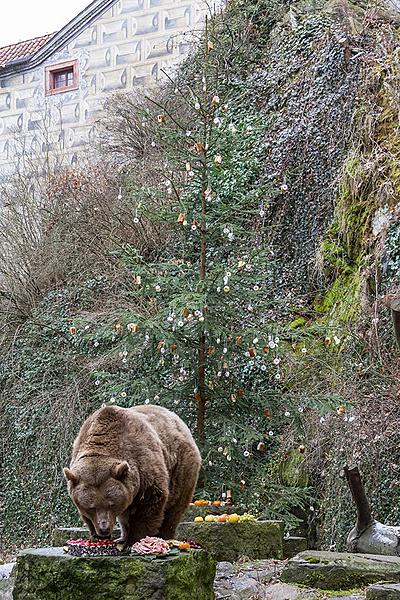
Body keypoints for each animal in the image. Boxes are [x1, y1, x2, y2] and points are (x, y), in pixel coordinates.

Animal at [63, 404, 202, 544]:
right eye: (91, 507)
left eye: (111, 504)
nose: (104, 529)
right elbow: (88, 516)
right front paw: (96, 536)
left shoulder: (142, 464)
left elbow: (150, 502)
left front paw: (136, 539)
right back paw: (122, 537)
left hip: (181, 468)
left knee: (174, 509)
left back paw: (165, 535)